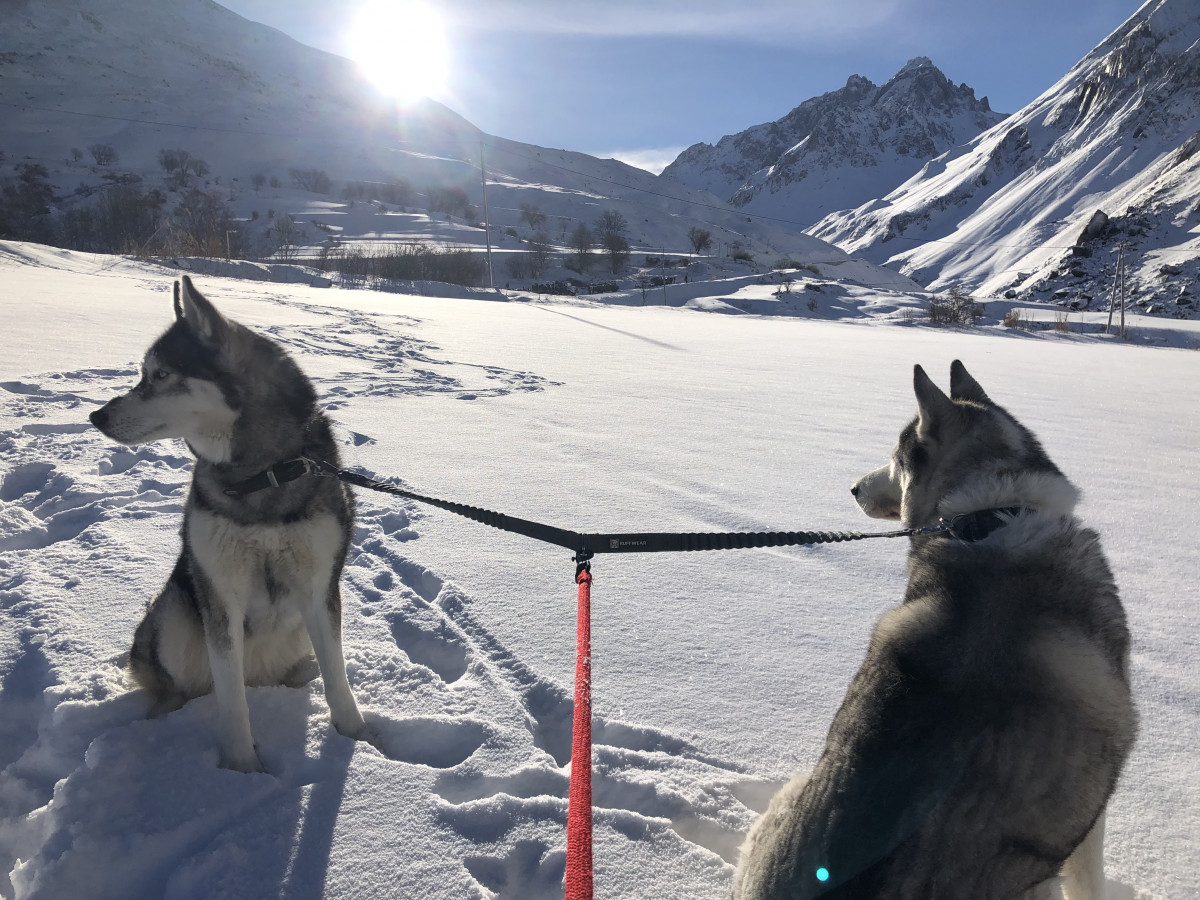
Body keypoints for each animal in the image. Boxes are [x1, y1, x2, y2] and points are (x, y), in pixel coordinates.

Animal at [93, 277, 367, 777]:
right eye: (144, 374)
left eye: (160, 374)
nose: (96, 416)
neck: (262, 475)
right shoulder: (220, 593)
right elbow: (231, 700)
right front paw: (242, 771)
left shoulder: (319, 587)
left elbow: (338, 678)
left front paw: (360, 740)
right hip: (174, 614)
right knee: (176, 685)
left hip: (294, 630)